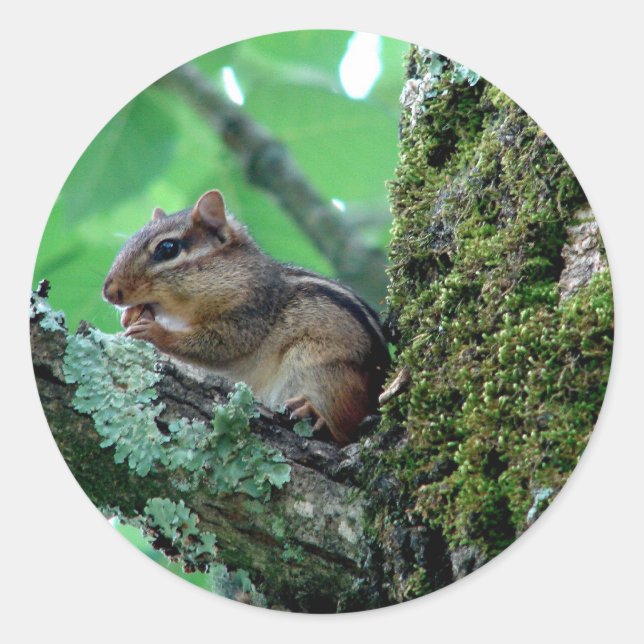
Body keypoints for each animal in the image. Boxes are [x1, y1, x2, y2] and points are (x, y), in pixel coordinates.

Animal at [103, 189, 389, 444]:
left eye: (168, 248)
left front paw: (153, 331)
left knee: (343, 427)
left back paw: (314, 412)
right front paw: (130, 317)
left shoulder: (250, 313)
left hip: (322, 369)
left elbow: (219, 346)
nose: (109, 292)